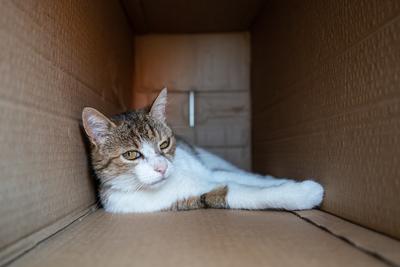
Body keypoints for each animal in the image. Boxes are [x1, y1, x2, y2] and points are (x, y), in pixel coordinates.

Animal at [82, 89, 324, 215]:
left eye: (164, 144)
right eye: (131, 155)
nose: (162, 168)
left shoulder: (208, 172)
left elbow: (248, 179)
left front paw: (284, 181)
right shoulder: (195, 196)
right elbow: (245, 193)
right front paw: (303, 193)